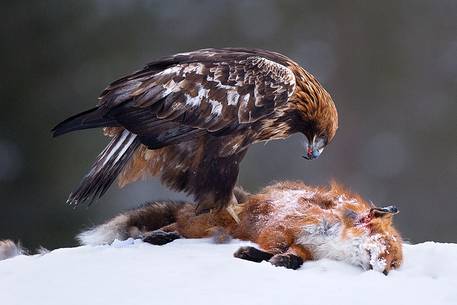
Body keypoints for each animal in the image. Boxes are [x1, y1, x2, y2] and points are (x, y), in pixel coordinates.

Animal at [78, 180, 402, 274]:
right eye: (386, 252)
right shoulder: (283, 225)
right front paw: (251, 254)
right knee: (169, 225)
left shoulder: (308, 247)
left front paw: (282, 261)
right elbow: (275, 244)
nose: (385, 274)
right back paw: (157, 235)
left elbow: (295, 258)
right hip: (204, 224)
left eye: (394, 264)